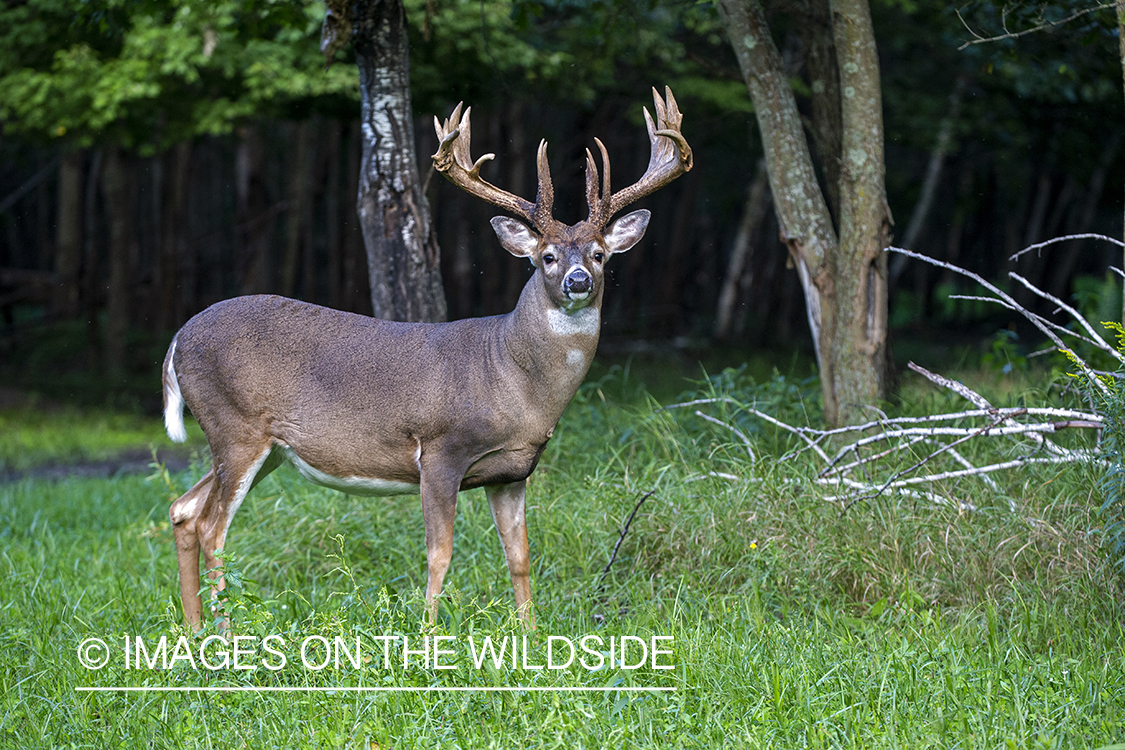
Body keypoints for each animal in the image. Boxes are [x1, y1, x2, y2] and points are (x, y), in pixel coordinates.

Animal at [163, 86, 688, 629]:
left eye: (600, 254)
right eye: (546, 256)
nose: (578, 280)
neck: (513, 381)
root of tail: (177, 339)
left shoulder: (513, 472)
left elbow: (520, 555)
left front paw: (530, 632)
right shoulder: (440, 450)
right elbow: (440, 553)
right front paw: (429, 632)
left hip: (264, 447)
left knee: (183, 510)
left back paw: (194, 629)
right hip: (236, 427)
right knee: (212, 527)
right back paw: (225, 631)